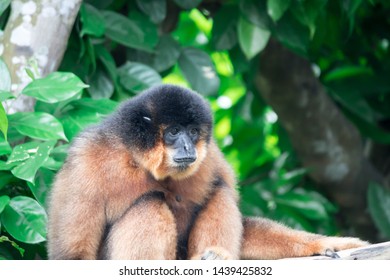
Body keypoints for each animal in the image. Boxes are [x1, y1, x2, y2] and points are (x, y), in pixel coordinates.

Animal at [46, 83, 368, 260]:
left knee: (218, 191)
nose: (188, 145)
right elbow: (71, 254)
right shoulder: (86, 161)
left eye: (192, 131)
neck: (139, 161)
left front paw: (325, 243)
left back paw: (213, 256)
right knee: (148, 203)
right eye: (174, 131)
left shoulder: (211, 157)